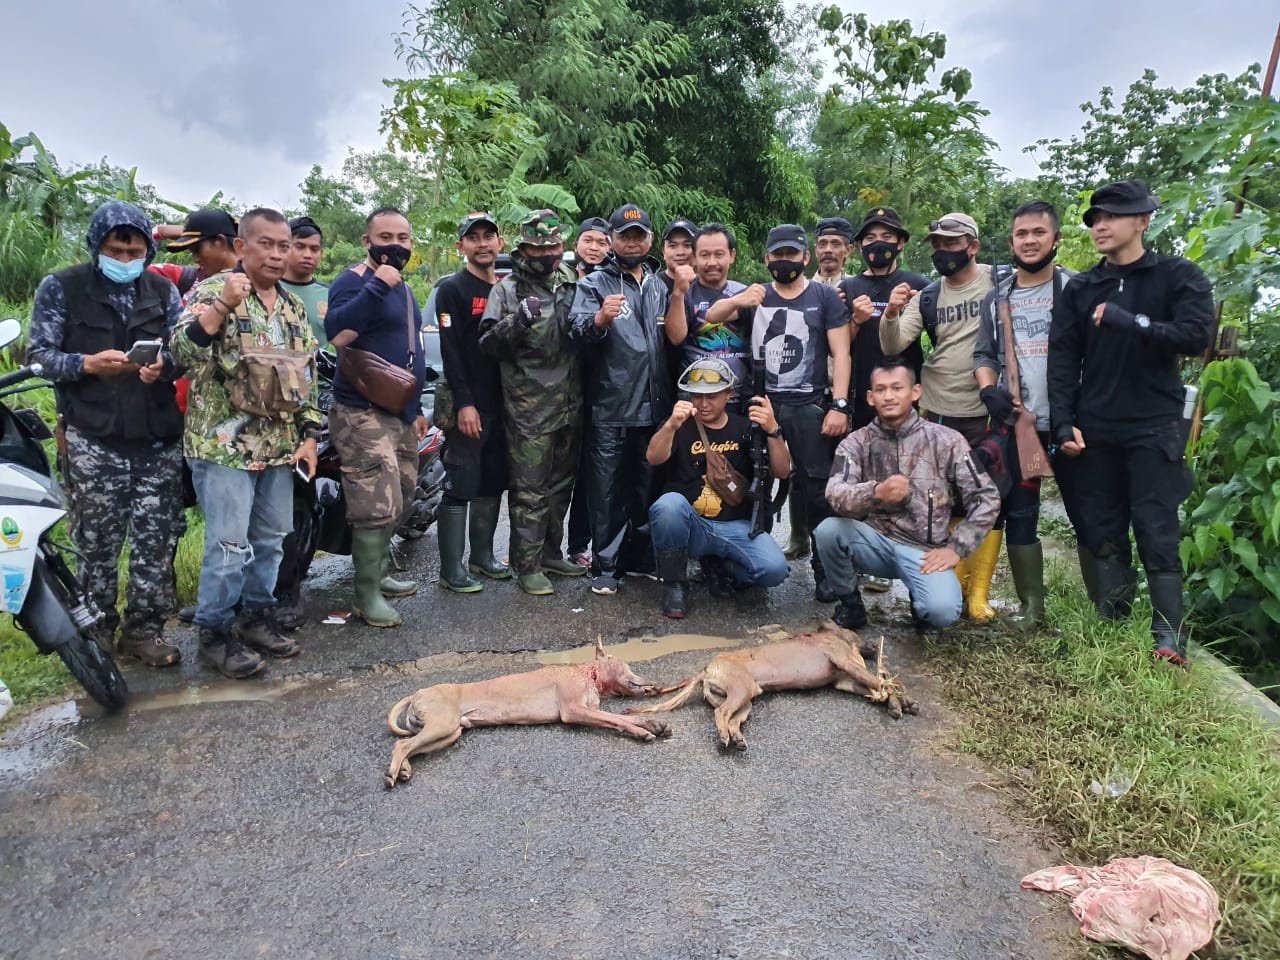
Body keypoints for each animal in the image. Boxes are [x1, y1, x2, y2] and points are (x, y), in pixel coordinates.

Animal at [381, 640, 670, 788]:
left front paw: (652, 723)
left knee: (408, 745)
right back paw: (394, 772)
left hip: (449, 732)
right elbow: (616, 719)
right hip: (443, 725)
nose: (651, 683)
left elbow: (623, 717)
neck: (589, 676)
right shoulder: (573, 710)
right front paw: (641, 731)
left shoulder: (589, 709)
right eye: (628, 666)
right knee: (402, 744)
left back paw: (403, 769)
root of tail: (418, 692)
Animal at [627, 619, 911, 757]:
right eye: (856, 632)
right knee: (721, 715)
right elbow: (877, 682)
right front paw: (892, 692)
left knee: (732, 720)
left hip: (746, 700)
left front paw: (897, 700)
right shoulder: (843, 662)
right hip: (740, 690)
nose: (874, 644)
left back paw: (737, 739)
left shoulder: (844, 681)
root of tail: (706, 669)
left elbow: (871, 687)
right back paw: (723, 738)